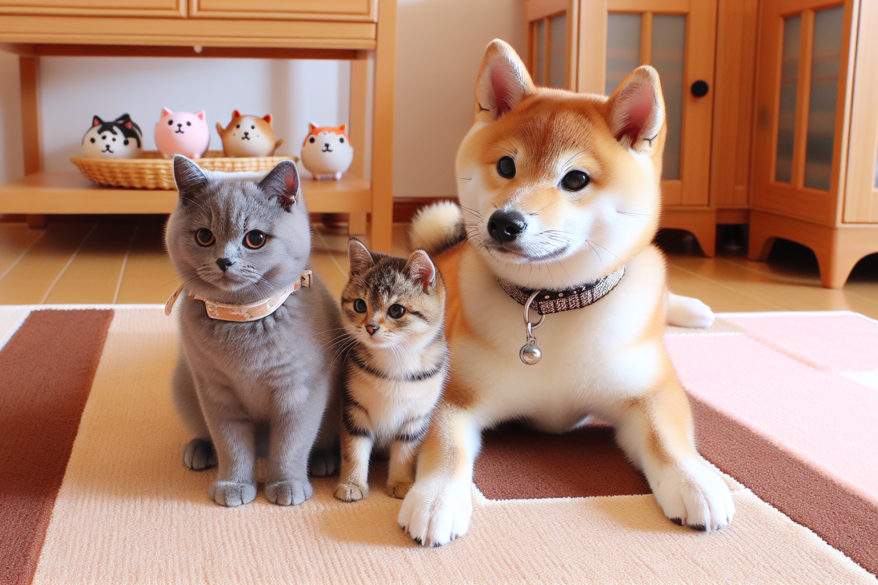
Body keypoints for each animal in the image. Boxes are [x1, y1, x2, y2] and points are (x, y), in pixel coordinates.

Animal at [165, 155, 341, 507]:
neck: (243, 319)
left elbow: (291, 447)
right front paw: (232, 485)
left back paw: (324, 460)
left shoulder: (299, 392)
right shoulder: (216, 393)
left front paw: (287, 484)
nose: (224, 261)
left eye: (255, 239)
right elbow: (230, 445)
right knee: (206, 434)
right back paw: (199, 450)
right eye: (204, 236)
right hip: (183, 384)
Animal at [334, 238, 448, 502]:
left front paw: (401, 482)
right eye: (359, 305)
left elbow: (405, 452)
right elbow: (354, 450)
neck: (396, 361)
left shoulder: (416, 417)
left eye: (397, 310)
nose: (370, 327)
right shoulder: (355, 409)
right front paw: (352, 484)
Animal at [397, 39, 732, 547]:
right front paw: (436, 498)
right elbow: (447, 447)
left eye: (575, 179)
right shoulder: (452, 394)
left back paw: (694, 310)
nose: (504, 222)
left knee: (664, 295)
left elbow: (666, 439)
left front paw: (697, 481)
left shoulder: (650, 392)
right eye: (506, 166)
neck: (550, 303)